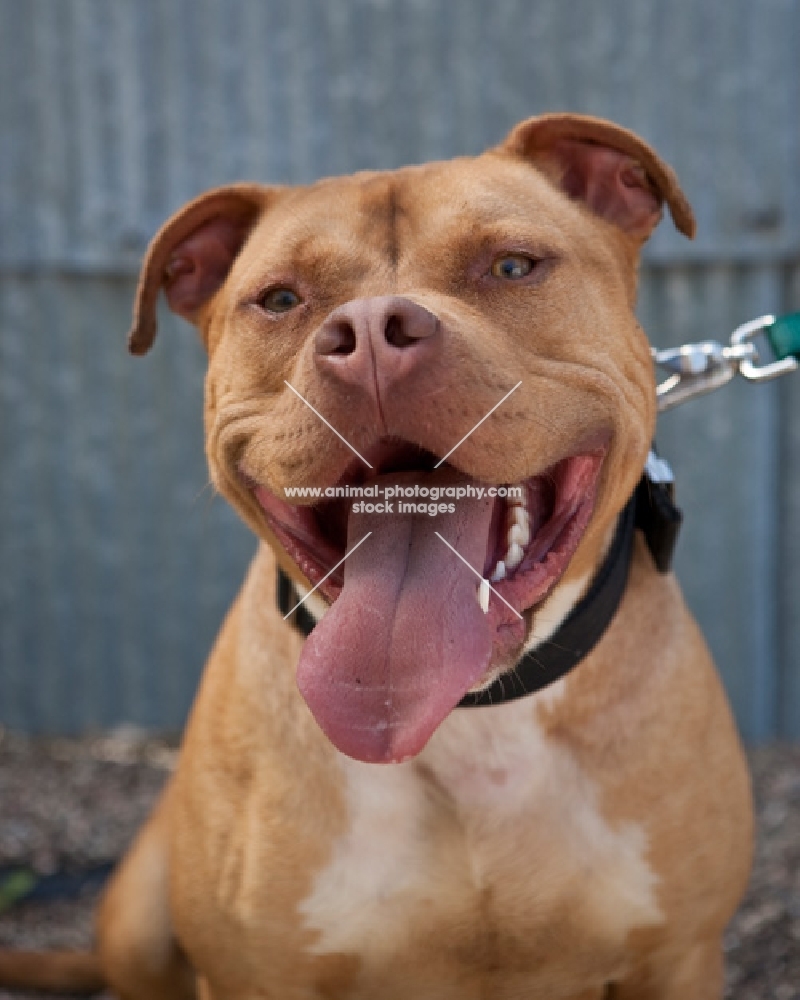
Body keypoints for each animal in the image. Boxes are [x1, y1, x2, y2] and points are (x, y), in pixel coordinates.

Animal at [0, 113, 752, 996]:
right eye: (281, 299)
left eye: (512, 265)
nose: (368, 336)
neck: (471, 721)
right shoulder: (253, 974)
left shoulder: (679, 956)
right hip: (139, 920)